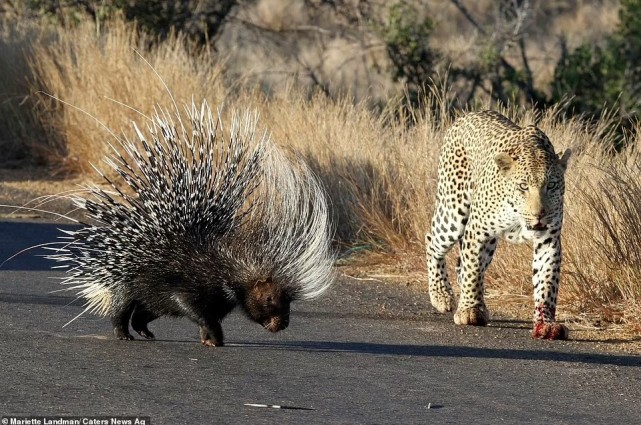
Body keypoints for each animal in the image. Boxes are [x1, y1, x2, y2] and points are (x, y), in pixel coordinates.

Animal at [424, 111, 568, 340]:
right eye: (523, 186)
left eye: (552, 185)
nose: (539, 215)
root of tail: (468, 115)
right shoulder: (477, 230)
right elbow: (473, 270)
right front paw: (470, 310)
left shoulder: (549, 240)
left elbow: (547, 281)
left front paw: (546, 322)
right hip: (454, 212)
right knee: (433, 241)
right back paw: (442, 295)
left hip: (489, 242)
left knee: (462, 262)